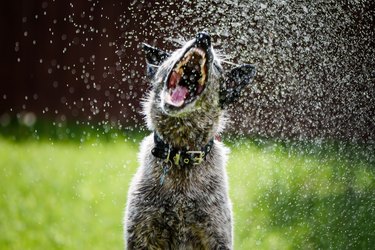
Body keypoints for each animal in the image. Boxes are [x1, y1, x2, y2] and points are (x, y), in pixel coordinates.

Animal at [125, 32, 258, 249]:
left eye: (217, 66)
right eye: (177, 51)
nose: (204, 36)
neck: (181, 153)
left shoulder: (216, 234)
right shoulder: (141, 233)